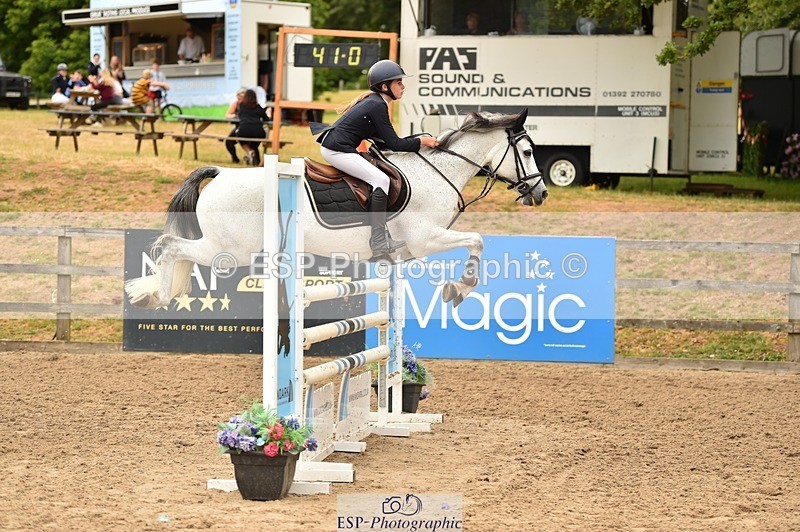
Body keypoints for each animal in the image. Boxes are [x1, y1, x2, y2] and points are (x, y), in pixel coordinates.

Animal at [125, 109, 548, 310]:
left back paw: (150, 293)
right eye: (528, 152)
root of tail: (221, 174)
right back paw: (155, 295)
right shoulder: (426, 240)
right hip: (230, 252)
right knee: (170, 247)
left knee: (175, 250)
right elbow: (476, 241)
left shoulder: (411, 251)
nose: (541, 193)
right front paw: (459, 289)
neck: (436, 172)